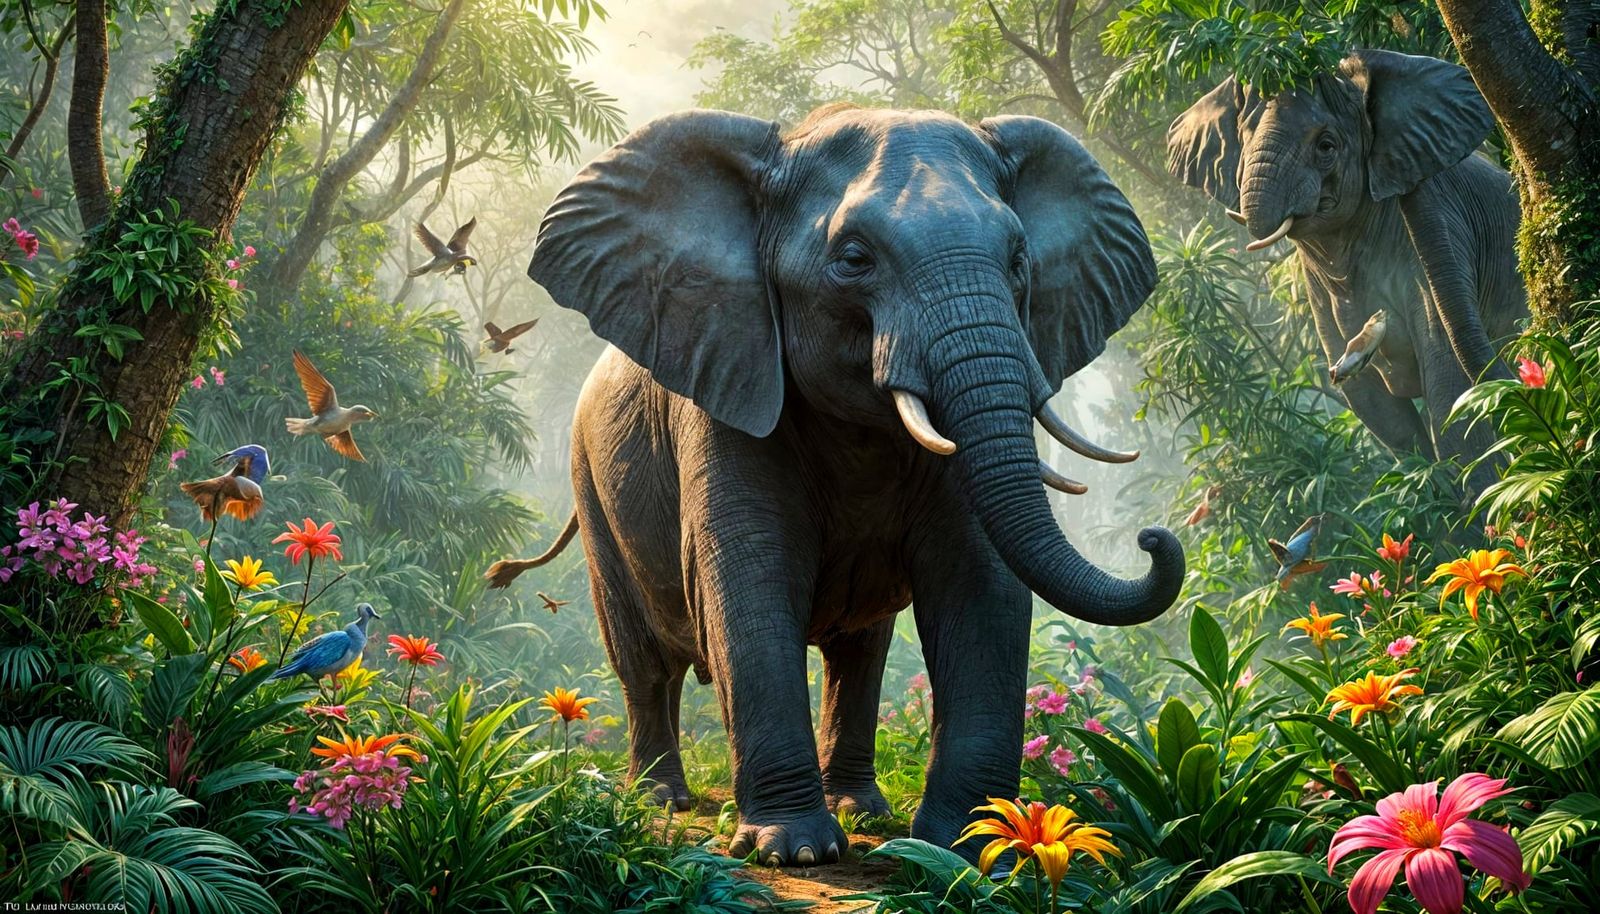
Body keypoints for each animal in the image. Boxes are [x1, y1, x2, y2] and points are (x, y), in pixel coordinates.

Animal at [487, 104, 1184, 866]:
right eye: (854, 259)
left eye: (1018, 260)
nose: (1153, 538)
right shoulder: (728, 385)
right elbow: (748, 580)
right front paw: (792, 852)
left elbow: (981, 583)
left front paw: (965, 851)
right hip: (591, 479)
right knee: (644, 662)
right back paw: (660, 800)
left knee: (858, 654)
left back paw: (860, 809)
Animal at [1168, 49, 1527, 493]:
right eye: (1243, 142)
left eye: (1326, 146)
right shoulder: (1319, 288)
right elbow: (1376, 407)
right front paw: (1430, 492)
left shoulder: (1442, 223)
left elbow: (1447, 381)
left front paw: (1479, 505)